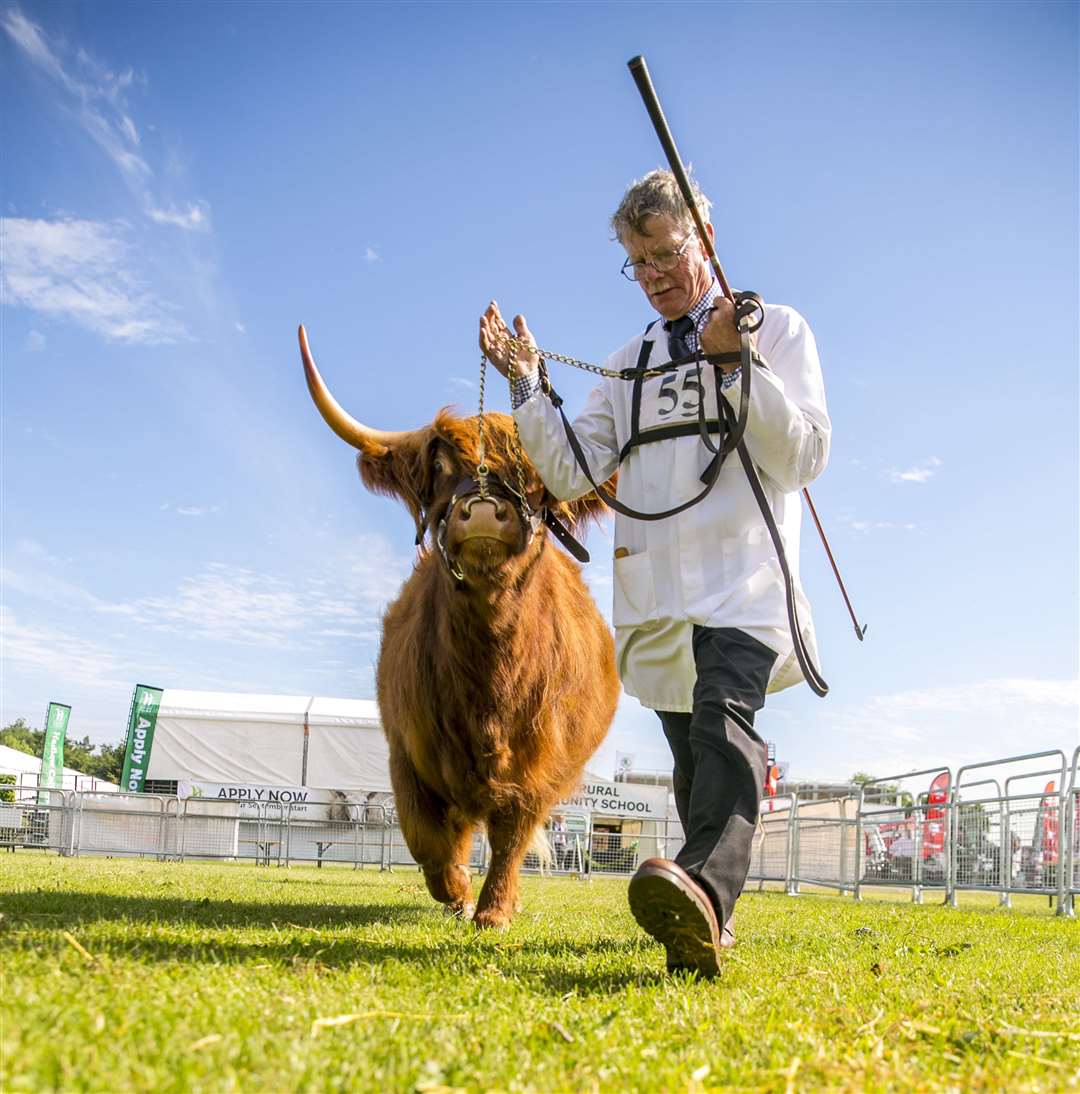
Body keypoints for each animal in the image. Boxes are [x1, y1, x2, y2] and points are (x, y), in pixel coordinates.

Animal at [299, 328, 621, 927]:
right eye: (442, 466)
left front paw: (494, 910)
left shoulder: (539, 768)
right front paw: (455, 890)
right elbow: (425, 837)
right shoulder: (407, 751)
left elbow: (513, 835)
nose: (485, 510)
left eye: (536, 476)